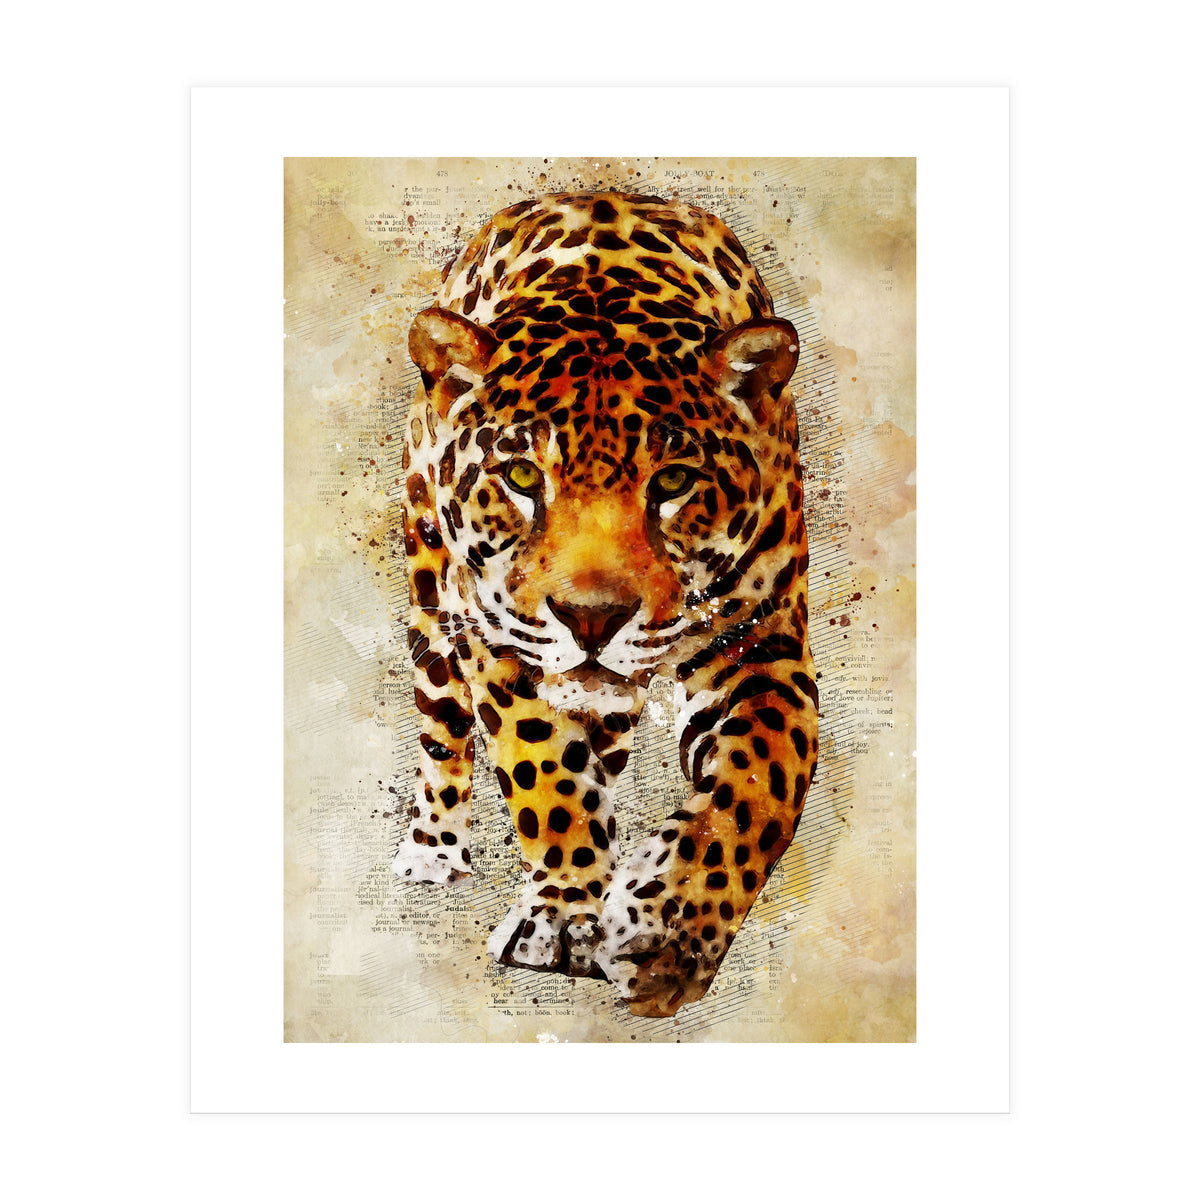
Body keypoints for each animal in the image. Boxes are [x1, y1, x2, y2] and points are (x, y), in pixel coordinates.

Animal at [392, 190, 818, 1018]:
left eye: (675, 481)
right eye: (522, 477)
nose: (591, 618)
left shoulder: (763, 643)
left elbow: (761, 783)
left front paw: (667, 932)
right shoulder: (500, 638)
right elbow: (543, 767)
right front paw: (563, 916)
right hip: (432, 601)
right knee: (442, 730)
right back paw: (433, 849)